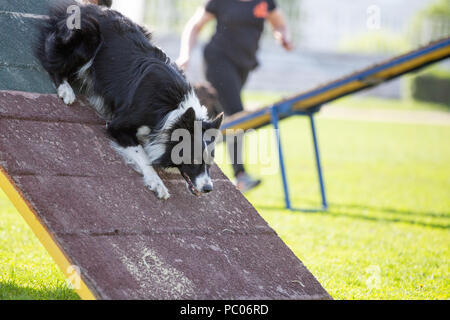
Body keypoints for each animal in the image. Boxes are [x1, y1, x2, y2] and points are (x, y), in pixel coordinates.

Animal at [34, 1, 224, 199]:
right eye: (192, 158)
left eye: (210, 161)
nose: (208, 188)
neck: (171, 109)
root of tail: (89, 7)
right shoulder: (119, 125)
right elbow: (141, 153)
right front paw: (157, 183)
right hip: (88, 34)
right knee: (51, 62)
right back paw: (66, 90)